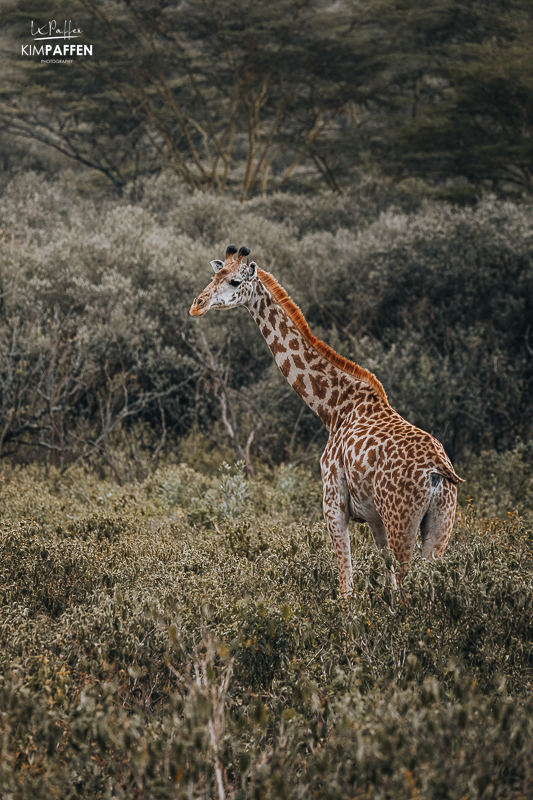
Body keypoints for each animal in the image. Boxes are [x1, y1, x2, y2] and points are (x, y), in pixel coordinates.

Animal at [188, 247, 462, 596]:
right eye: (215, 275)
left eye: (235, 281)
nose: (197, 305)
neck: (333, 408)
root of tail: (438, 472)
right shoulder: (374, 517)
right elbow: (383, 583)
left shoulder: (333, 504)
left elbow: (346, 587)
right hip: (440, 523)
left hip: (402, 517)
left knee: (406, 591)